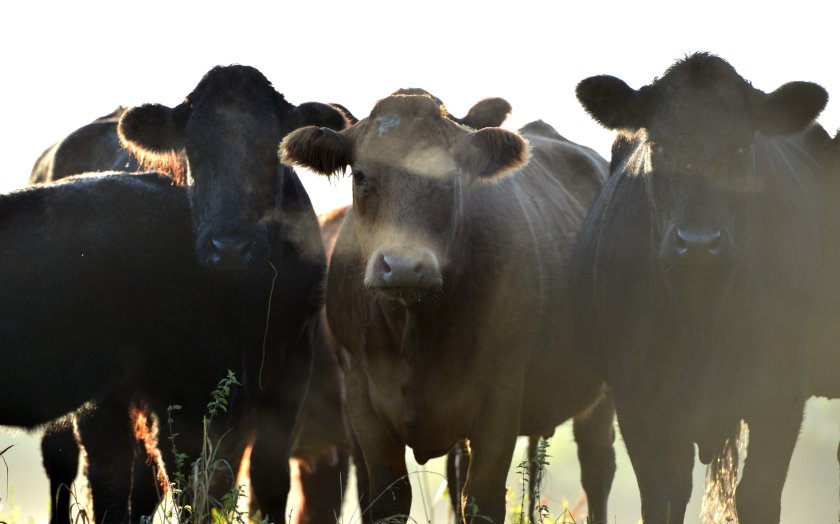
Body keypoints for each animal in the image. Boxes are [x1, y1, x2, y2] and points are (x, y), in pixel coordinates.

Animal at [280, 92, 615, 524]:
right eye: (361, 176)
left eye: (446, 178)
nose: (403, 265)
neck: (415, 329)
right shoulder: (360, 400)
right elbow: (388, 499)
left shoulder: (502, 393)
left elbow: (482, 500)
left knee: (597, 469)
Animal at [573, 52, 838, 523]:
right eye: (659, 145)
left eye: (742, 147)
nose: (698, 242)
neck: (702, 311)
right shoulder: (638, 399)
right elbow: (663, 496)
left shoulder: (780, 394)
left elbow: (758, 497)